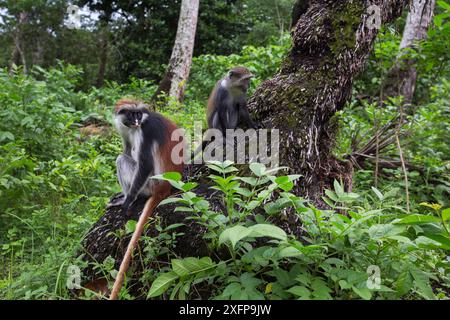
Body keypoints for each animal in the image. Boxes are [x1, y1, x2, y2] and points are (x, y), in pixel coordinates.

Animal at [110, 98, 184, 300]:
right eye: (131, 114)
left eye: (138, 114)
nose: (136, 121)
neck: (136, 126)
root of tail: (164, 187)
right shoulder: (124, 128)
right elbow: (127, 148)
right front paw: (123, 196)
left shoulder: (146, 129)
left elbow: (144, 163)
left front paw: (128, 199)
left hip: (150, 184)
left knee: (122, 160)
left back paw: (131, 196)